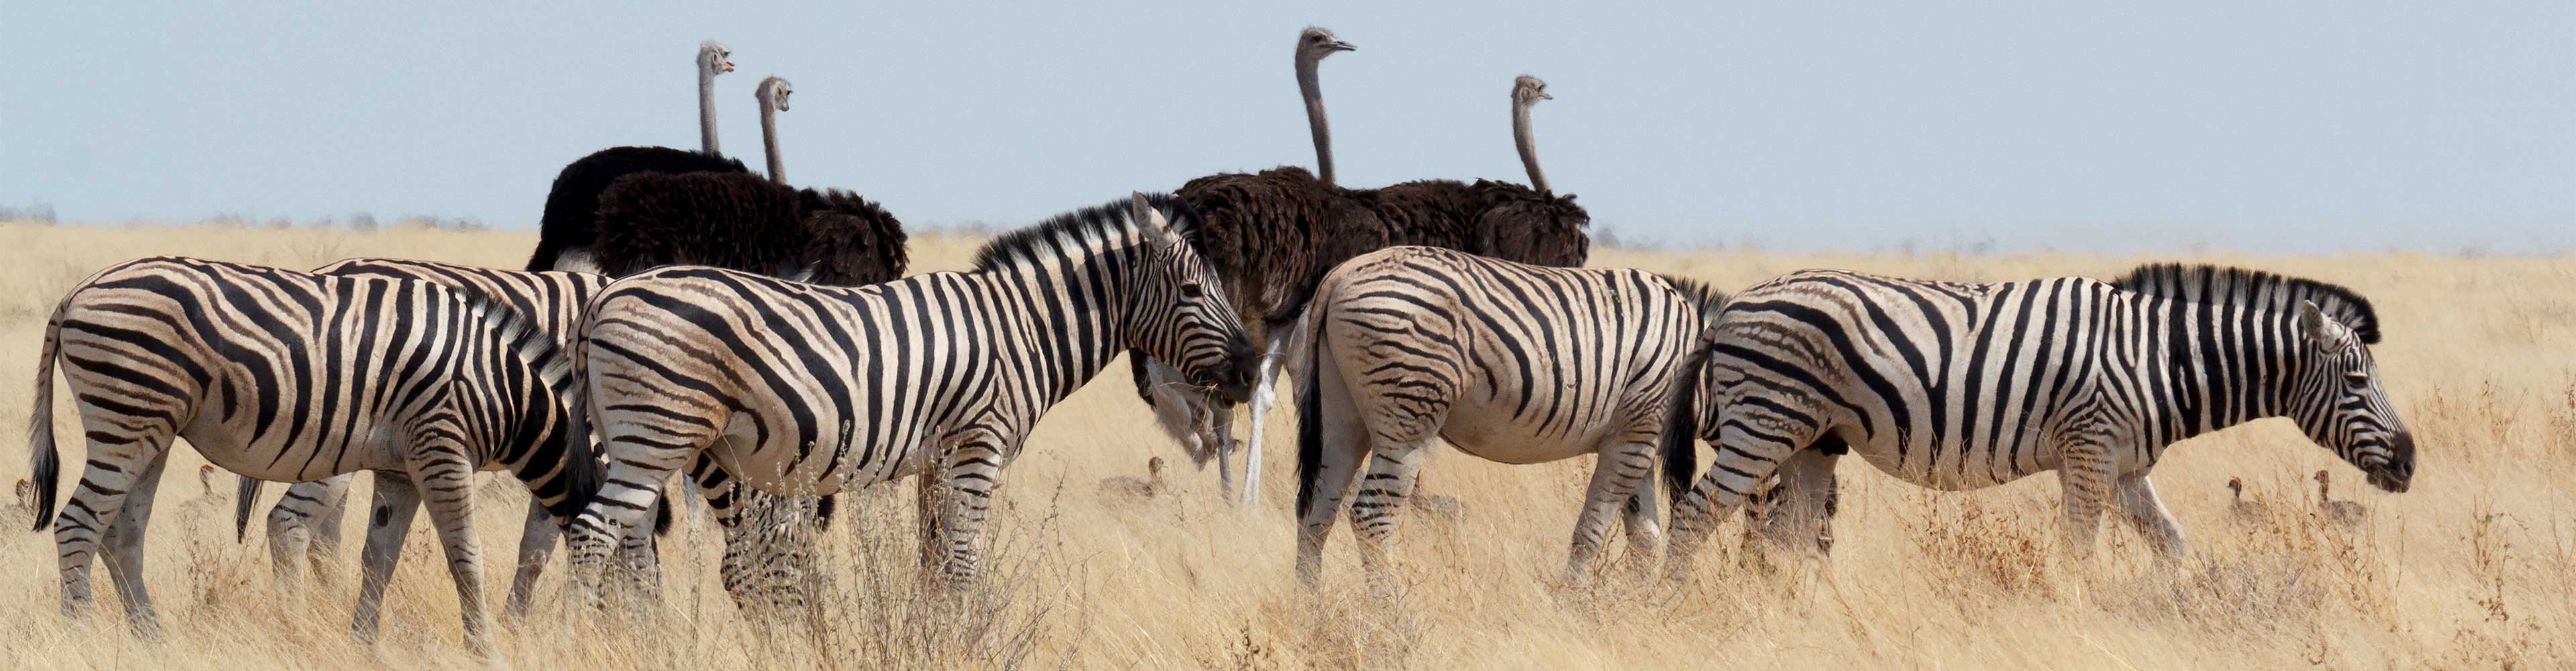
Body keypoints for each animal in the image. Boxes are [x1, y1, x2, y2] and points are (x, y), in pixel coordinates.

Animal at [25, 256, 593, 652]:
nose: (605, 633)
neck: (504, 387)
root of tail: (76, 293)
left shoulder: (399, 470)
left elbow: (378, 557)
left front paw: (362, 644)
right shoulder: (442, 446)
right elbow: (467, 556)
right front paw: (486, 649)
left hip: (153, 430)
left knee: (121, 533)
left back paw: (152, 640)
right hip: (126, 415)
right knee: (77, 525)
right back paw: (81, 637)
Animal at [238, 257, 834, 613]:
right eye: (800, 563)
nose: (806, 640)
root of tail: (327, 266)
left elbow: (546, 550)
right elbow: (616, 549)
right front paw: (639, 629)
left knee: (324, 537)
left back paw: (328, 610)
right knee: (292, 526)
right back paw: (304, 619)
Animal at [561, 193, 1257, 595]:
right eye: (1193, 292)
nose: (1251, 370)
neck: (1022, 328)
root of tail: (603, 296)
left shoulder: (938, 459)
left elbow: (935, 562)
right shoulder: (980, 446)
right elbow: (963, 563)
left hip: (644, 441)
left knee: (628, 545)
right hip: (656, 434)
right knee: (592, 536)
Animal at [1292, 246, 1721, 588]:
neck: (1696, 371)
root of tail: (1341, 274)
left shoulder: (1639, 442)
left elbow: (1645, 539)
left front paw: (1640, 611)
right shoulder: (1634, 434)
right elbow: (1593, 532)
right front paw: (1575, 607)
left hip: (1341, 419)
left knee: (1316, 512)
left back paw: (1313, 615)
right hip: (1408, 411)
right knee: (1371, 517)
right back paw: (1390, 623)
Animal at [1659, 263, 2419, 579]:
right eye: (2358, 381)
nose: (2411, 462)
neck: (2157, 359)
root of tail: (1732, 308)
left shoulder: (2126, 466)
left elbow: (2172, 545)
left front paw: (2175, 610)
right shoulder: (2088, 451)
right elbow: (2076, 551)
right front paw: (2073, 613)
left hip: (1812, 442)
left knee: (1785, 543)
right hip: (1765, 425)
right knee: (1695, 517)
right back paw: (1675, 609)